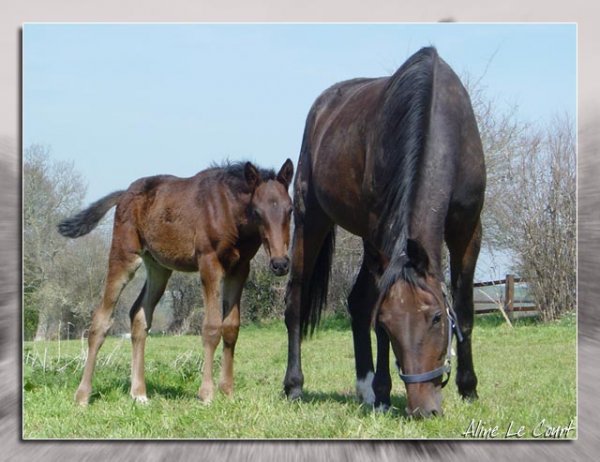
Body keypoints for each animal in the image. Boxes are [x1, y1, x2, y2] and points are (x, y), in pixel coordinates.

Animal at [284, 47, 486, 418]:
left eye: (437, 318)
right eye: (392, 325)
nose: (423, 410)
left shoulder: (468, 230)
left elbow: (465, 309)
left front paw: (469, 389)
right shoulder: (380, 235)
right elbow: (376, 314)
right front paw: (383, 392)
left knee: (358, 302)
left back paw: (364, 389)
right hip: (312, 222)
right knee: (296, 300)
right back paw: (295, 386)